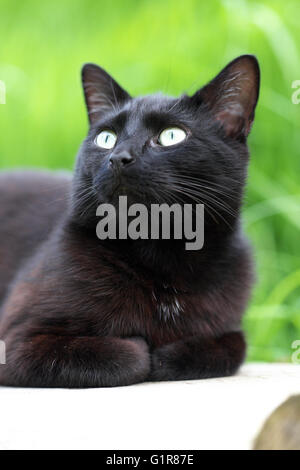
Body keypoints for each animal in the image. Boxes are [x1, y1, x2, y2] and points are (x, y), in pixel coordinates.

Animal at [0, 55, 258, 388]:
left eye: (171, 135)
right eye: (106, 138)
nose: (118, 157)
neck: (161, 257)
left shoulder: (227, 326)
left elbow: (233, 344)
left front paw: (168, 355)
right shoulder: (16, 339)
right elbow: (127, 356)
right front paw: (143, 347)